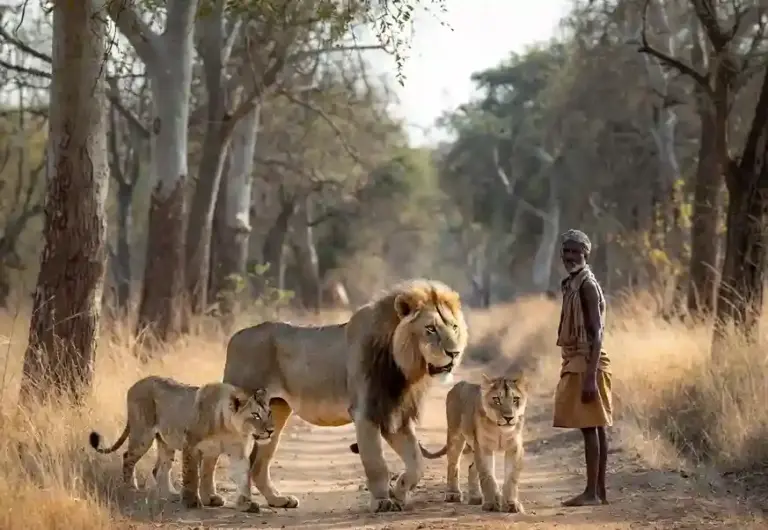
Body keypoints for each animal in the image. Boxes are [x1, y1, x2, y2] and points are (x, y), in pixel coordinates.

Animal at [89, 376, 273, 509]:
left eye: (269, 413)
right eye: (256, 415)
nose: (271, 430)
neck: (231, 428)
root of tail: (136, 384)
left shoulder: (234, 451)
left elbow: (239, 475)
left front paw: (246, 503)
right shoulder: (190, 444)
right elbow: (192, 474)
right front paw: (191, 501)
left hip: (165, 442)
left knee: (159, 469)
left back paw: (171, 494)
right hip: (143, 434)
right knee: (128, 456)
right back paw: (130, 488)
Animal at [220, 278, 468, 513]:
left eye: (454, 327)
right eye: (430, 328)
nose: (454, 353)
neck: (402, 366)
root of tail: (234, 337)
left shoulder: (394, 414)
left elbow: (417, 464)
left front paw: (398, 493)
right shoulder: (365, 412)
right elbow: (376, 464)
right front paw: (382, 502)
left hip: (274, 415)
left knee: (258, 465)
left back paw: (278, 500)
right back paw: (240, 503)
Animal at [416, 373, 528, 513]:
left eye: (515, 399)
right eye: (496, 399)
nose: (509, 418)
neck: (500, 430)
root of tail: (460, 384)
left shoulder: (515, 448)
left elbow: (511, 477)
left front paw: (511, 504)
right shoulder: (483, 447)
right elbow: (487, 476)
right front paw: (491, 504)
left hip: (472, 445)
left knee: (472, 468)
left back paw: (476, 497)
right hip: (455, 436)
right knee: (453, 465)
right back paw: (453, 494)